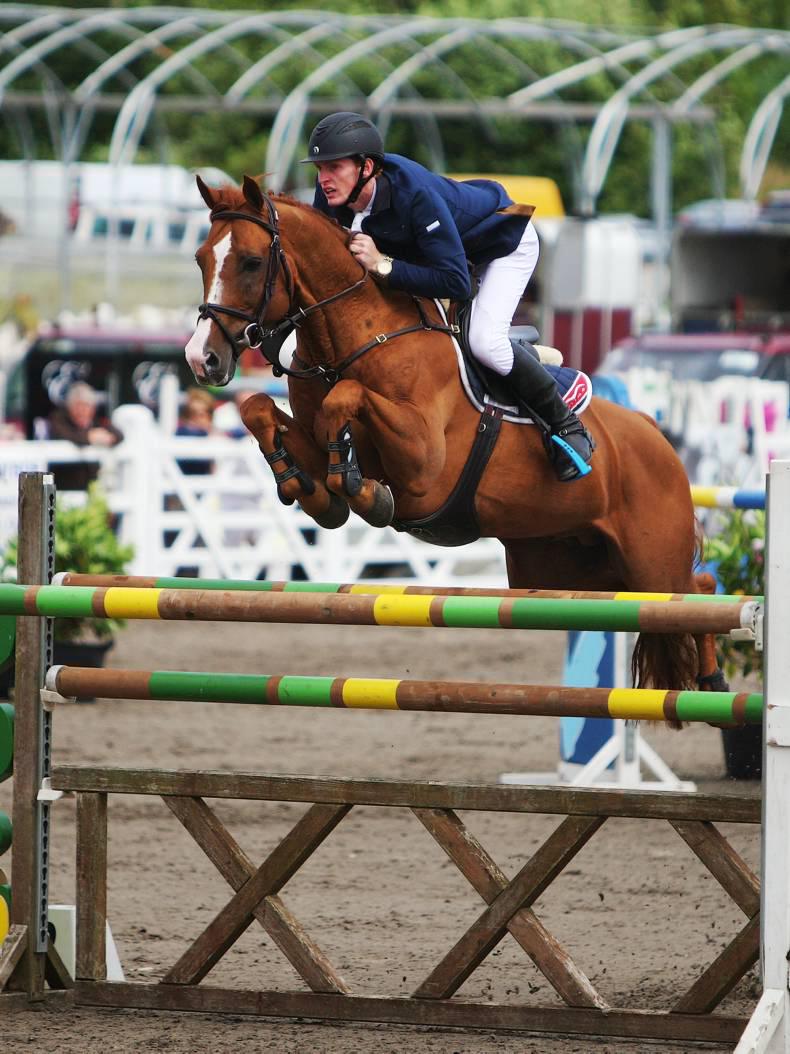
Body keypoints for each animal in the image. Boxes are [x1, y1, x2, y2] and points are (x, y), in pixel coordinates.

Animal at [185, 174, 726, 698]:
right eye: (200, 259)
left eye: (252, 262)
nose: (201, 359)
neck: (353, 340)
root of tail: (655, 434)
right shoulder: (324, 439)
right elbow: (259, 409)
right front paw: (311, 491)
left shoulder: (423, 466)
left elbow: (347, 399)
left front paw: (363, 493)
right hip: (565, 568)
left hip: (650, 563)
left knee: (694, 590)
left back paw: (714, 682)